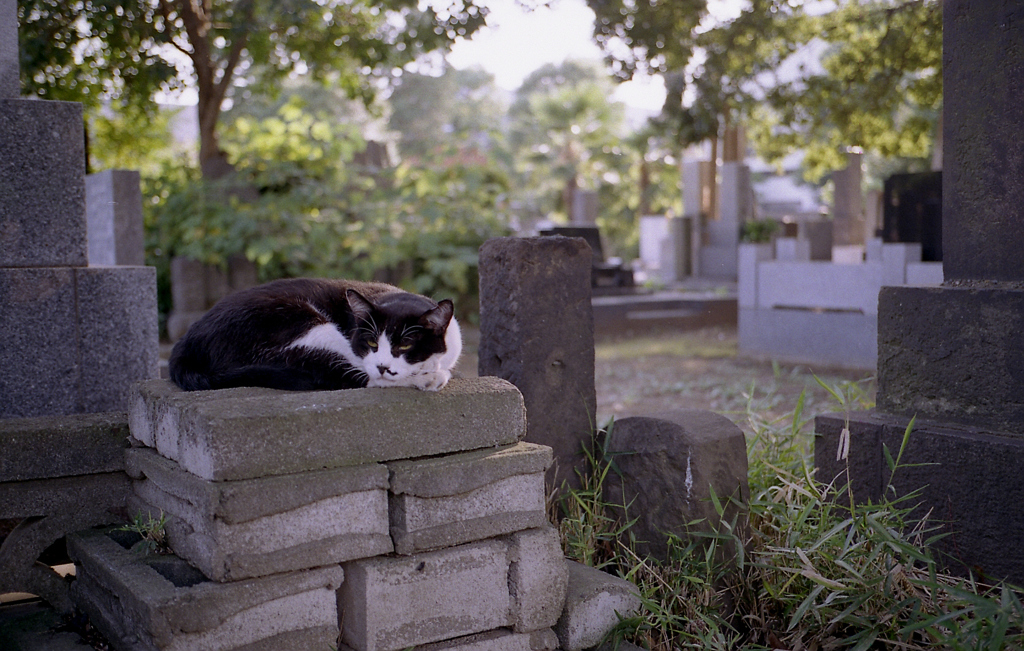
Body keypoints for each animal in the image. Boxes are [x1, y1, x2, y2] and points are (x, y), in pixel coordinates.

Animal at [167, 278, 460, 391]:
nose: (382, 366)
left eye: (406, 346)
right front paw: (428, 375)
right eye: (371, 342)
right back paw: (430, 379)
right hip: (298, 323)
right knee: (338, 374)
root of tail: (186, 342)